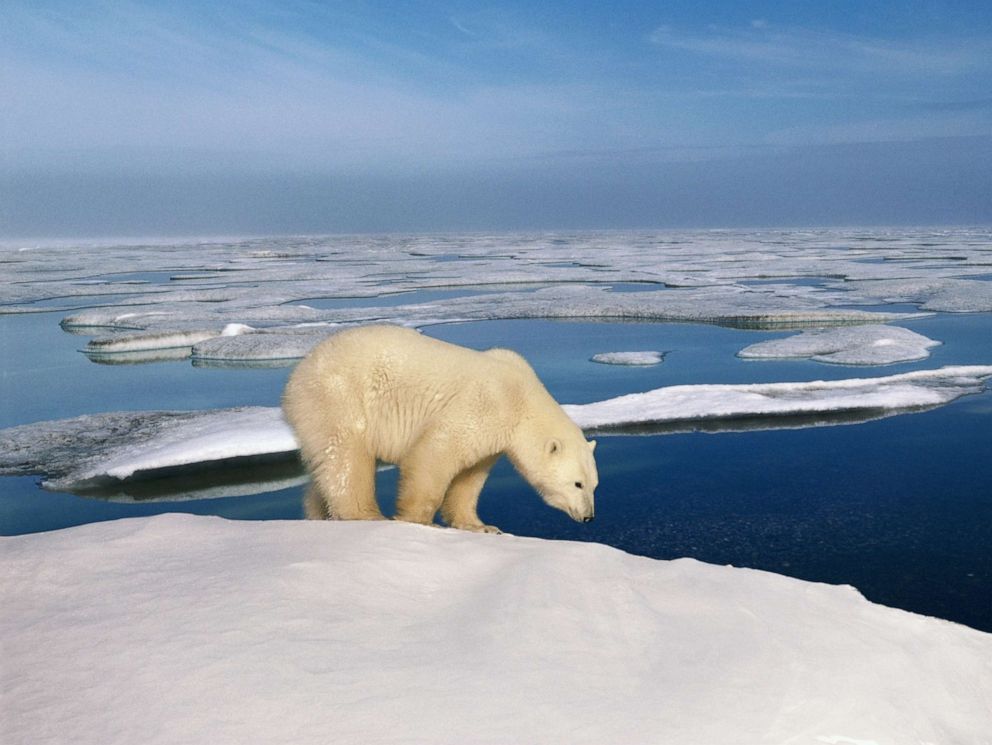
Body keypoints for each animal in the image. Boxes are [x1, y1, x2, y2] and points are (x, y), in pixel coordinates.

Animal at [282, 324, 600, 528]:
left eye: (594, 484)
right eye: (577, 483)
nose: (589, 516)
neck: (521, 395)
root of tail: (300, 370)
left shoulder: (493, 437)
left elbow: (470, 477)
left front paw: (480, 526)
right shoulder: (484, 404)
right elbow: (435, 454)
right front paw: (420, 521)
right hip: (338, 396)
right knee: (347, 455)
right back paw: (366, 514)